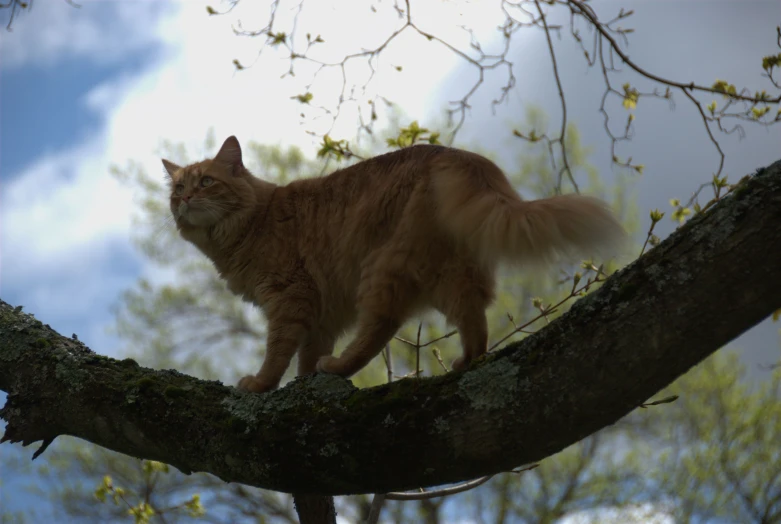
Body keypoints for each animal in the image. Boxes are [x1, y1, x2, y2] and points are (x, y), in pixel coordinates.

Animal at [161, 137, 624, 390]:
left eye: (206, 182)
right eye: (177, 188)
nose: (184, 200)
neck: (254, 222)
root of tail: (453, 153)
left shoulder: (291, 296)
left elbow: (279, 352)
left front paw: (261, 385)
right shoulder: (321, 314)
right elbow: (306, 355)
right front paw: (303, 384)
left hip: (383, 268)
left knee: (379, 328)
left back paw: (339, 367)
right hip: (451, 272)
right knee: (475, 319)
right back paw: (467, 362)